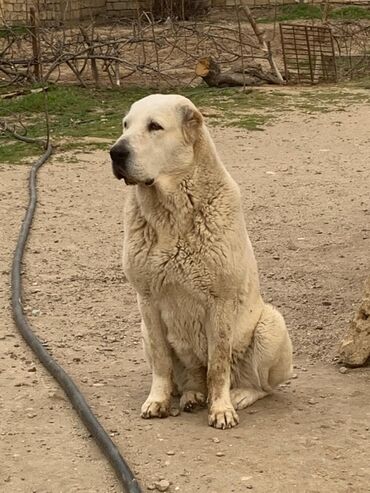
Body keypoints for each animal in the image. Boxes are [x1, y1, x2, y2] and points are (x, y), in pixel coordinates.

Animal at [109, 93, 292, 426]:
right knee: (189, 377)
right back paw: (193, 395)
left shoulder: (220, 303)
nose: (116, 152)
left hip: (272, 324)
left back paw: (239, 395)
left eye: (155, 126)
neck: (170, 214)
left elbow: (218, 365)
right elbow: (161, 362)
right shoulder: (147, 301)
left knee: (261, 385)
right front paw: (158, 400)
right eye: (126, 125)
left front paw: (221, 408)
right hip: (144, 331)